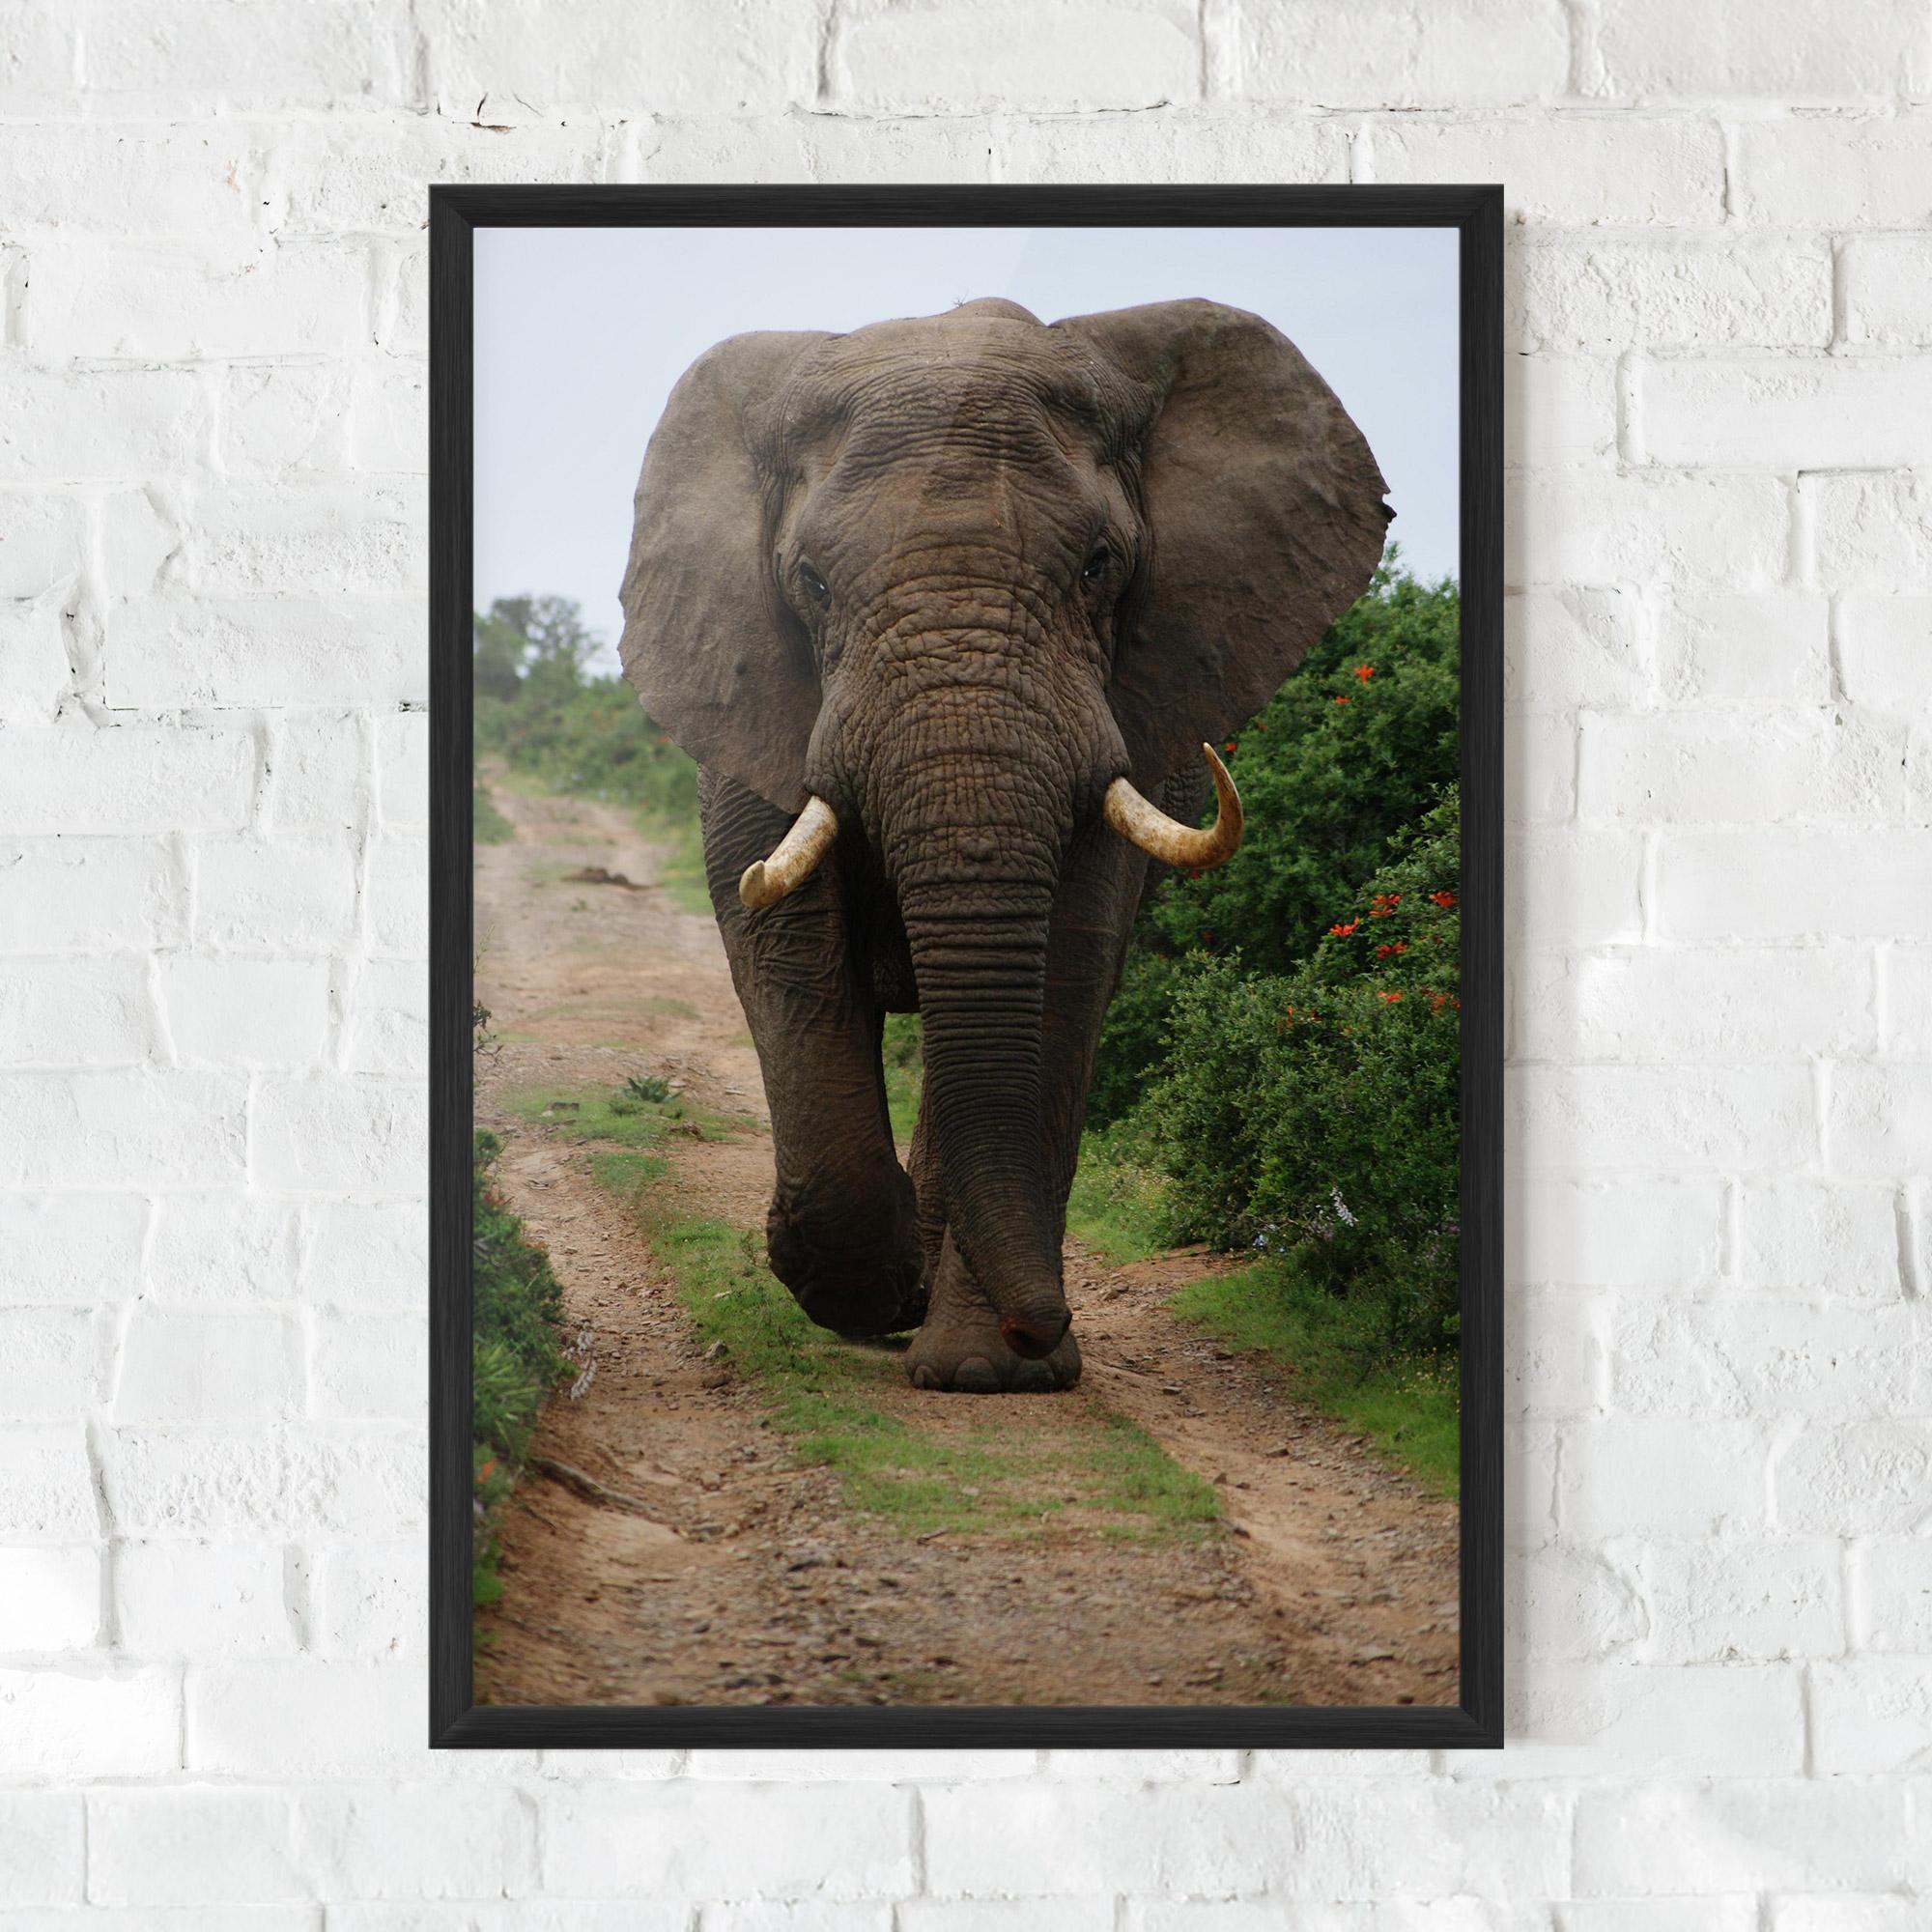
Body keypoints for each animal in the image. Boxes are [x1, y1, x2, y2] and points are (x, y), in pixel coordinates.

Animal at [619, 296, 1389, 1393]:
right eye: (810, 583)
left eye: (1099, 567)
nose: (1043, 1323)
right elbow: (784, 946)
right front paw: (859, 1289)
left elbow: (1066, 964)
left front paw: (990, 1372)